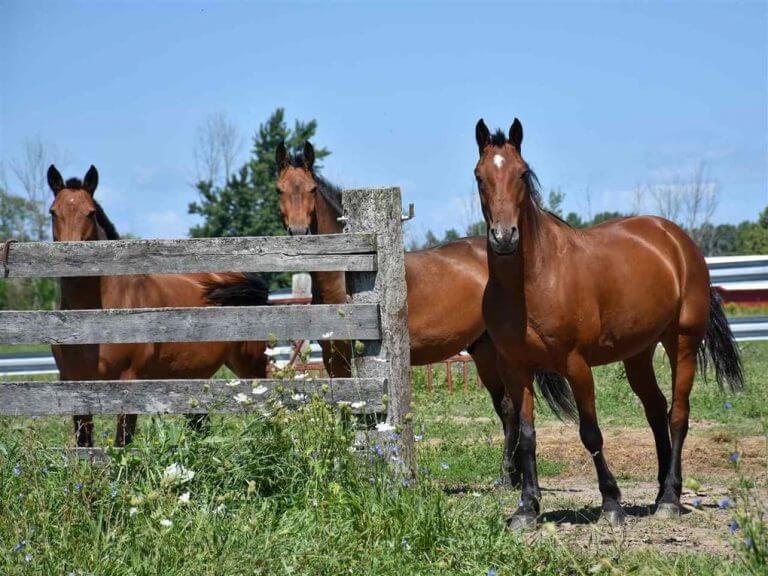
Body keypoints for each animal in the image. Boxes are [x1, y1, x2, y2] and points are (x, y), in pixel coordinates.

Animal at [46, 165, 270, 447]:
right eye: (53, 212)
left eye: (91, 212)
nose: (69, 261)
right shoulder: (74, 382)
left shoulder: (129, 382)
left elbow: (123, 442)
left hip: (251, 364)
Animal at [275, 141, 575, 487]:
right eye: (280, 189)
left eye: (311, 189)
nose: (299, 233)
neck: (345, 275)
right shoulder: (333, 361)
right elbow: (344, 411)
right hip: (483, 349)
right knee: (506, 407)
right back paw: (512, 478)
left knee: (510, 407)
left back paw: (505, 477)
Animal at [473, 118, 743, 529]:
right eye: (480, 176)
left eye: (521, 173)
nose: (504, 237)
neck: (533, 279)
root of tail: (677, 240)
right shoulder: (514, 368)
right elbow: (527, 435)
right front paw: (527, 508)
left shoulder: (576, 364)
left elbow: (590, 433)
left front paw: (611, 503)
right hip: (638, 354)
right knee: (656, 411)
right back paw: (662, 491)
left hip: (681, 342)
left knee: (677, 414)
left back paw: (669, 499)